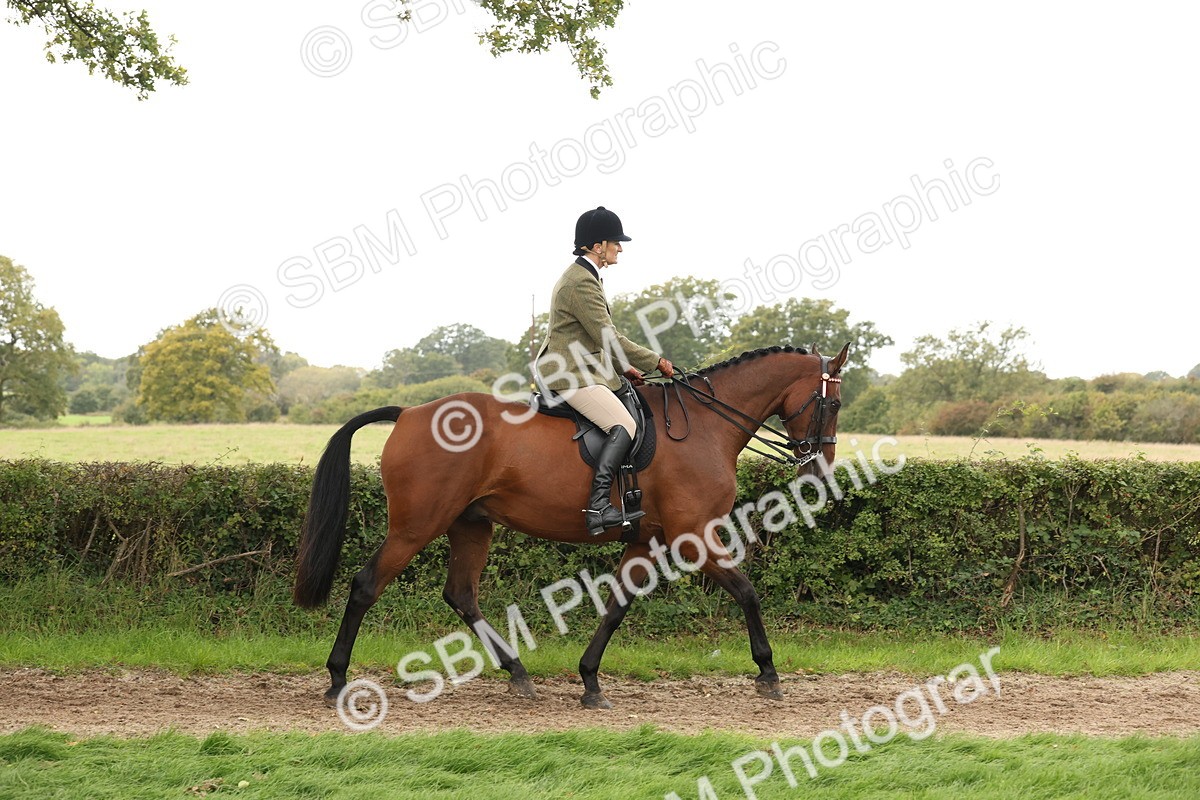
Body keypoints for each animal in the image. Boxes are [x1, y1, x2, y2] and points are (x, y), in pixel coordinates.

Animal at [293, 343, 849, 709]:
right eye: (835, 403)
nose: (819, 470)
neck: (704, 426)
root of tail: (409, 411)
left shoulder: (646, 540)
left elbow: (617, 606)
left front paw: (590, 681)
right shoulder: (694, 536)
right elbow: (747, 592)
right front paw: (768, 672)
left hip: (470, 525)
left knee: (461, 595)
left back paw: (518, 673)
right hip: (415, 527)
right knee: (366, 586)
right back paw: (337, 680)